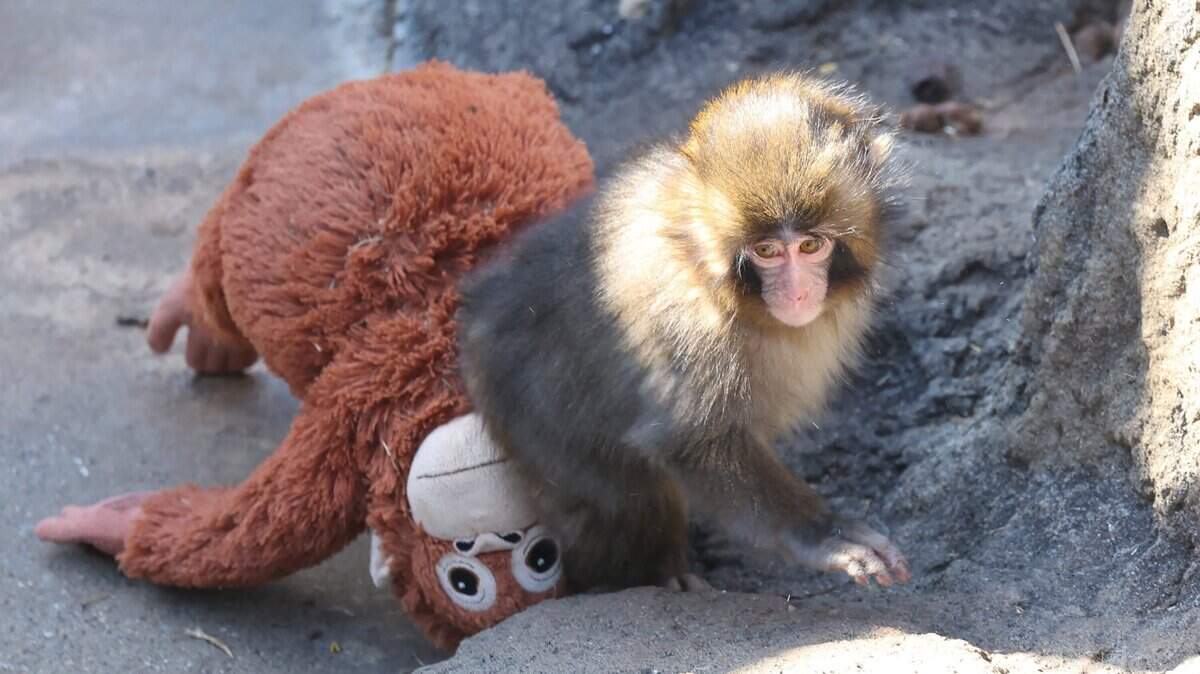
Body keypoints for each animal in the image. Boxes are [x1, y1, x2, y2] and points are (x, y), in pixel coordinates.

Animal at [457, 73, 910, 592]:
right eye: (767, 251)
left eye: (811, 245)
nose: (796, 294)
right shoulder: (692, 330)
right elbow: (690, 442)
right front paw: (824, 535)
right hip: (530, 415)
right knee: (622, 497)